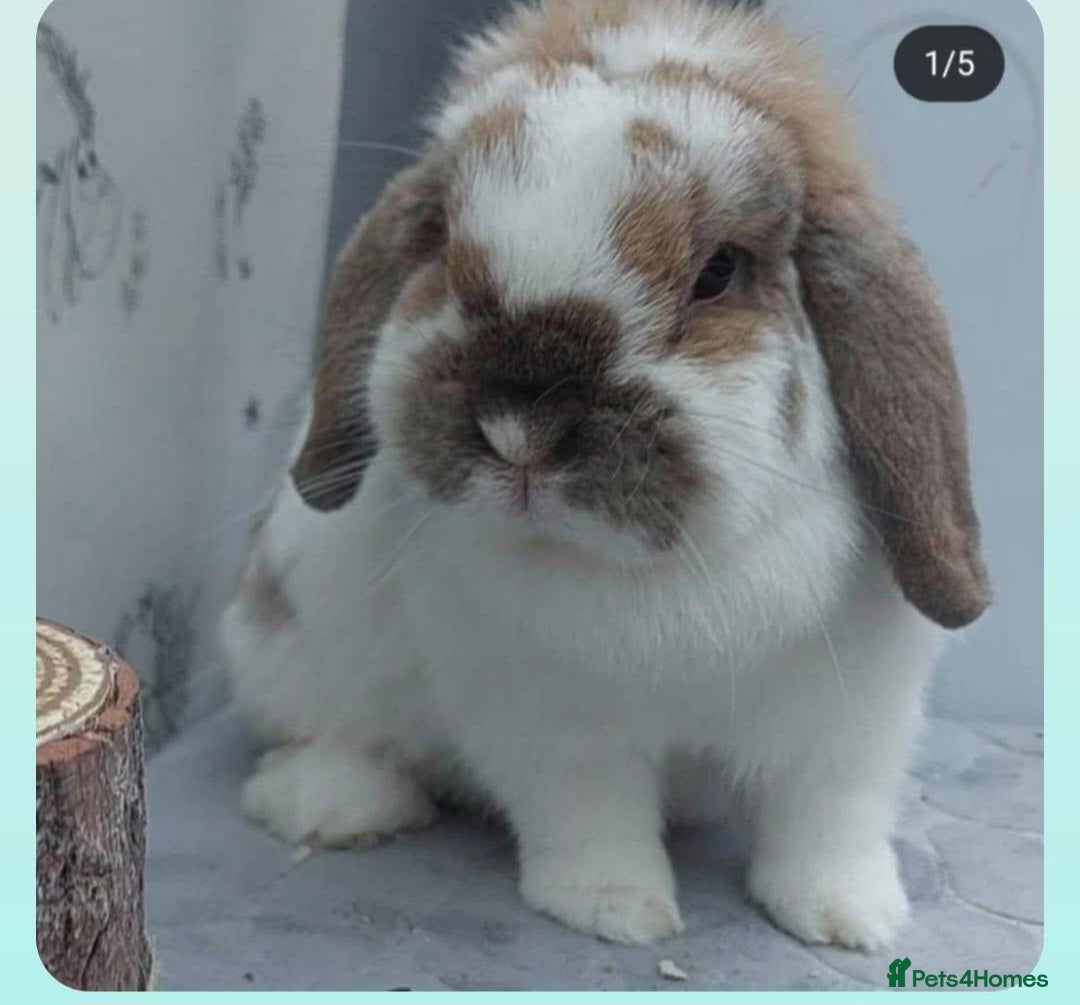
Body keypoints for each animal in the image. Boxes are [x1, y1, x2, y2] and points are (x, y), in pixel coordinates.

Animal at [223, 0, 990, 949]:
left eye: (719, 270)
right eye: (441, 241)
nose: (519, 431)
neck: (662, 574)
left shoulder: (851, 721)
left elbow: (827, 818)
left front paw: (850, 918)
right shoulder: (552, 721)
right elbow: (591, 817)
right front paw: (618, 912)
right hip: (295, 638)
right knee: (325, 732)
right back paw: (334, 803)